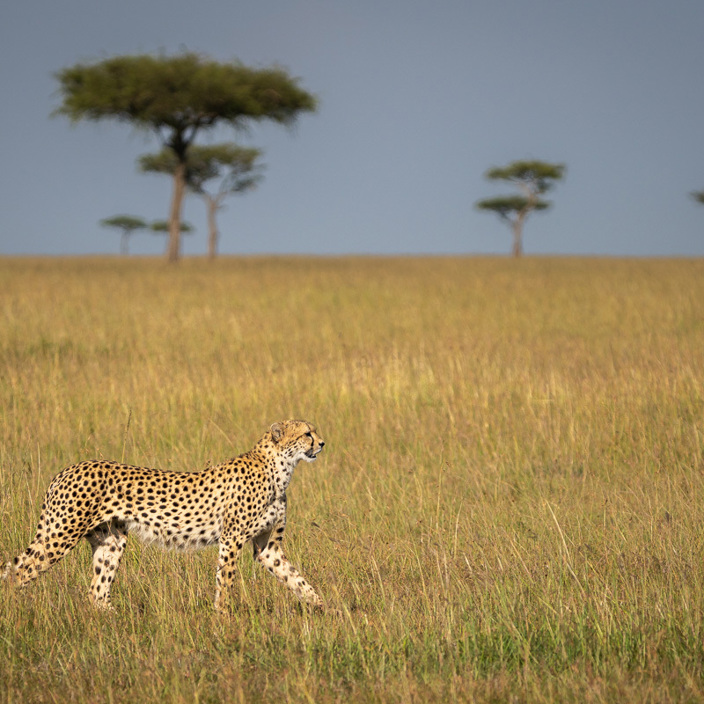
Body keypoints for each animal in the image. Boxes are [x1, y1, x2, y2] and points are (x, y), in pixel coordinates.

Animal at [2, 419, 325, 612]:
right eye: (307, 433)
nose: (322, 443)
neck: (280, 468)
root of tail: (67, 468)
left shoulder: (267, 547)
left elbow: (296, 578)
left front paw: (323, 607)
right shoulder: (231, 539)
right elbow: (226, 581)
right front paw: (223, 618)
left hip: (111, 541)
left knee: (97, 591)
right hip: (60, 535)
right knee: (17, 572)